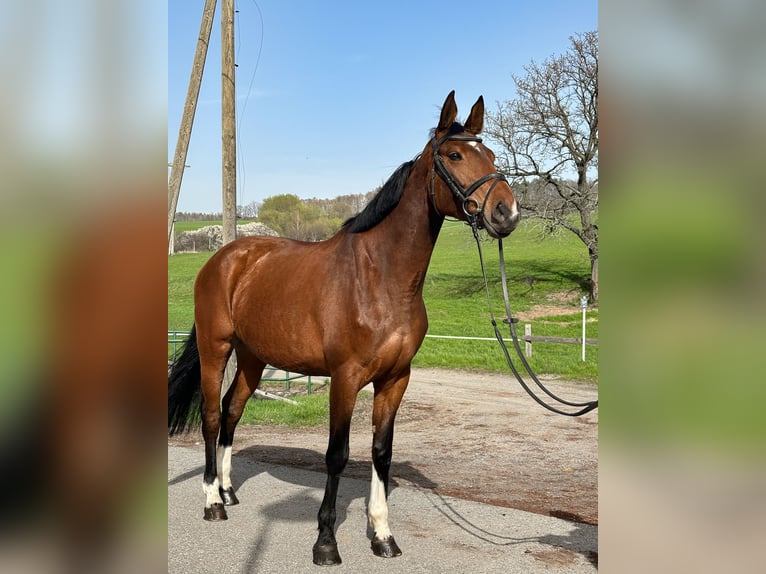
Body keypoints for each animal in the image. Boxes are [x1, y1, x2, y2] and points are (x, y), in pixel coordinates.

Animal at [168, 92, 520, 568]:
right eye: (454, 155)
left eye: (493, 155)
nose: (507, 212)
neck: (381, 279)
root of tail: (224, 259)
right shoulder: (346, 378)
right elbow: (337, 455)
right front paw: (325, 542)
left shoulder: (396, 379)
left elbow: (381, 453)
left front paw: (383, 536)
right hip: (216, 347)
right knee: (209, 415)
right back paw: (212, 502)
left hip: (254, 357)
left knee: (231, 410)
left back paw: (227, 490)